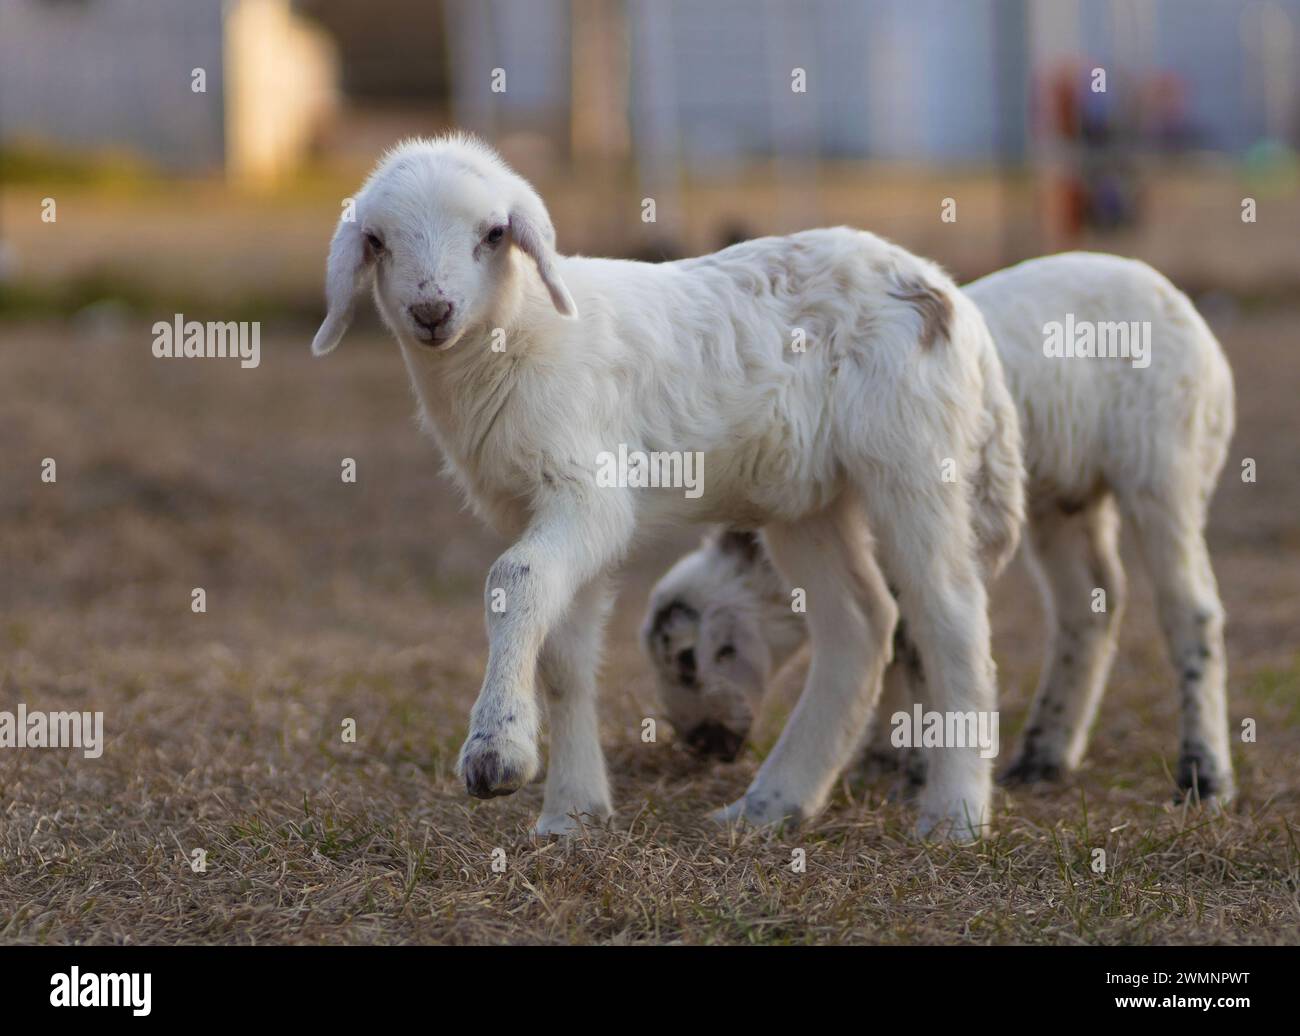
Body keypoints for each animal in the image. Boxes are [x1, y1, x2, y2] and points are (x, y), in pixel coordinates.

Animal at [312, 135, 1024, 842]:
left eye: (492, 233)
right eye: (376, 240)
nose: (432, 311)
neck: (520, 335)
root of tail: (946, 294)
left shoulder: (588, 492)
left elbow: (513, 578)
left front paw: (497, 754)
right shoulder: (538, 508)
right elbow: (562, 653)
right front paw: (570, 813)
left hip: (915, 459)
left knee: (952, 618)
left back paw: (955, 814)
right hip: (810, 496)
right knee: (861, 623)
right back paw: (772, 805)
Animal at [644, 250, 1232, 800]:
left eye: (690, 659)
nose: (701, 744)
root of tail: (1180, 303)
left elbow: (916, 648)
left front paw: (915, 770)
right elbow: (894, 649)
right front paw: (881, 759)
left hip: (1165, 467)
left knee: (1191, 611)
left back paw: (1203, 776)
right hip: (1065, 497)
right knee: (1089, 605)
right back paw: (1043, 758)